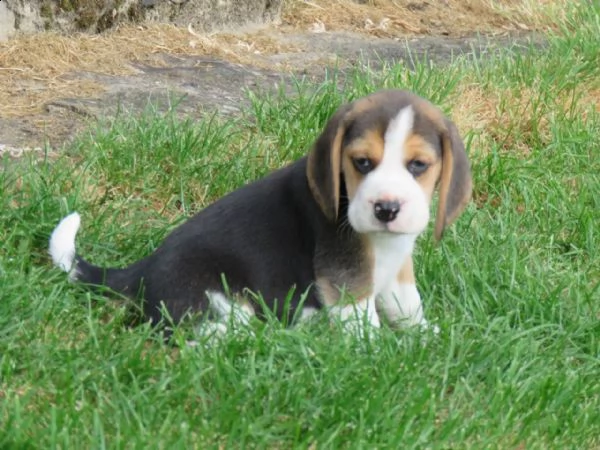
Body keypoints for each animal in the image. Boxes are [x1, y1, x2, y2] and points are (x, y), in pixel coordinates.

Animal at [49, 89, 472, 338]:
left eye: (418, 165)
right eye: (362, 162)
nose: (386, 208)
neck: (382, 242)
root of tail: (142, 270)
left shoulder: (398, 270)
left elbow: (406, 305)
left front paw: (425, 336)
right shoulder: (346, 276)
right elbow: (362, 323)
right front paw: (380, 351)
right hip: (216, 299)